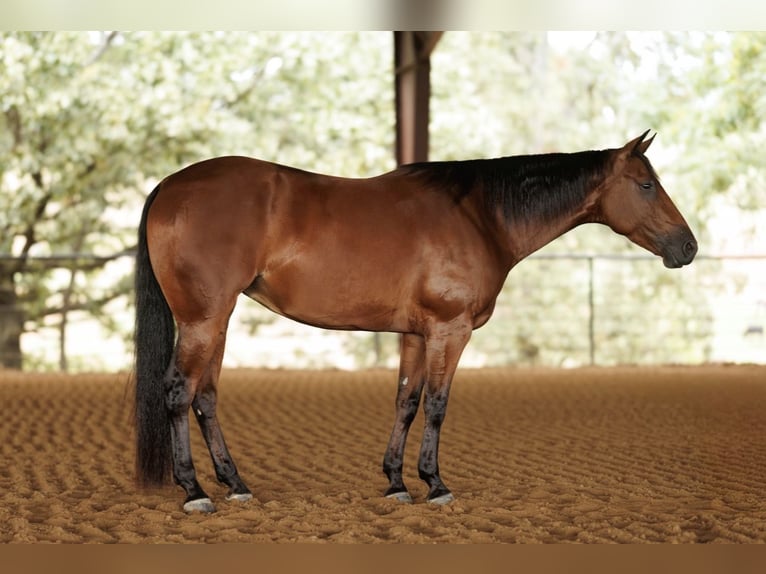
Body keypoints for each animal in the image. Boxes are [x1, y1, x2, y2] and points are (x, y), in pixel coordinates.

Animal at [133, 131, 697, 512]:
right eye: (647, 184)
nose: (688, 248)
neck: (479, 216)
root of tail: (170, 186)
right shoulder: (451, 330)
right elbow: (438, 405)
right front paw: (435, 484)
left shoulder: (415, 334)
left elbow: (406, 401)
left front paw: (396, 483)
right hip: (203, 320)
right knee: (179, 391)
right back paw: (194, 491)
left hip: (217, 321)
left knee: (206, 397)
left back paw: (236, 485)